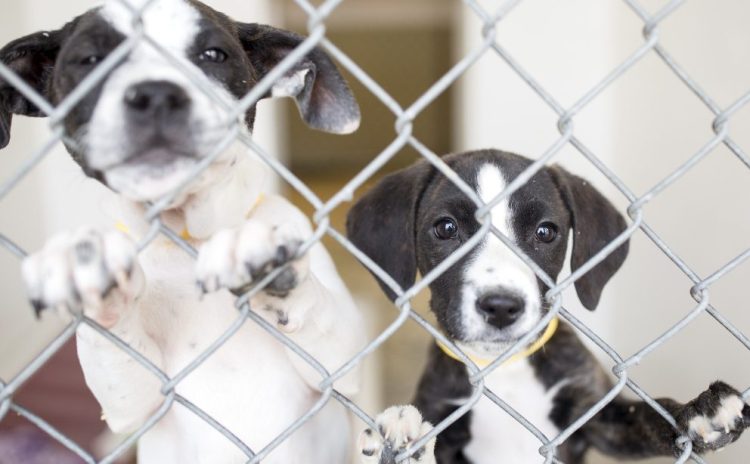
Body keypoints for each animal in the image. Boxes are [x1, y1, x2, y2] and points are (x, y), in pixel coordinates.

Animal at [0, 0, 364, 464]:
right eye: (91, 59)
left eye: (213, 55)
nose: (156, 94)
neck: (185, 240)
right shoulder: (129, 403)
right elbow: (110, 342)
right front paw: (81, 266)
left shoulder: (344, 365)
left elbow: (322, 316)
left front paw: (262, 253)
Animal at [348, 150, 750, 462]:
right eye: (446, 228)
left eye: (545, 232)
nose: (501, 306)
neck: (503, 366)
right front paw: (398, 442)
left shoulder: (596, 417)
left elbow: (644, 413)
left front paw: (695, 411)